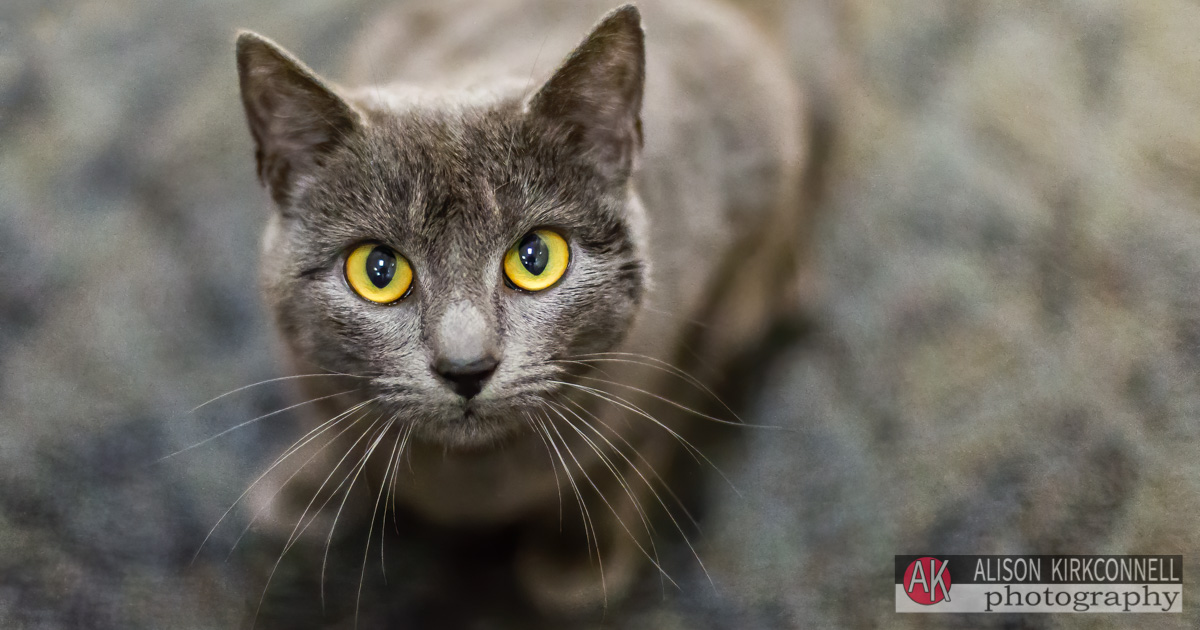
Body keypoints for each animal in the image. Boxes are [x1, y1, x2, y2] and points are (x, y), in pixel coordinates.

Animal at [231, 0, 806, 612]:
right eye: (378, 270)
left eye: (536, 257)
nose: (466, 366)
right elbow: (328, 420)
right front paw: (306, 492)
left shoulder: (710, 301)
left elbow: (627, 452)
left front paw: (580, 554)